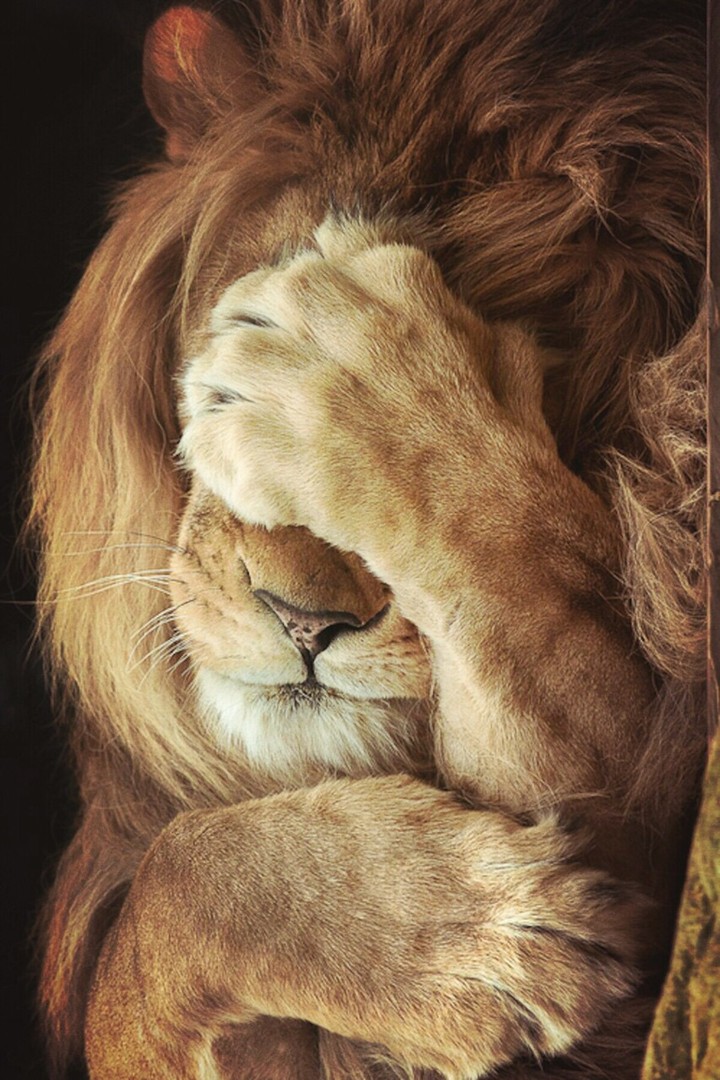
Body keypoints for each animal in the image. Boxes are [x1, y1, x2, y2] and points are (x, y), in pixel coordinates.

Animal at [32, 2, 708, 1078]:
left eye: (547, 406)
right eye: (217, 371)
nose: (304, 622)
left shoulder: (652, 829)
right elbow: (158, 909)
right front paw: (462, 943)